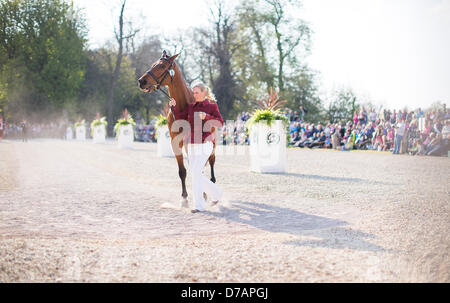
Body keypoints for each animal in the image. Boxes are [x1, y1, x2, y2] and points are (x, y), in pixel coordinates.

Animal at [139, 51, 218, 208]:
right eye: (153, 64)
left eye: (162, 66)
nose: (141, 81)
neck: (182, 106)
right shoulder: (176, 143)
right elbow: (183, 171)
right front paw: (184, 198)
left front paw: (200, 195)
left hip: (212, 142)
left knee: (211, 161)